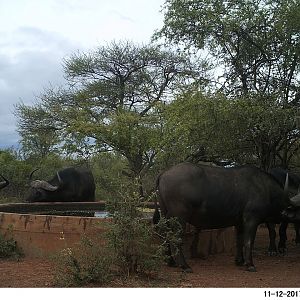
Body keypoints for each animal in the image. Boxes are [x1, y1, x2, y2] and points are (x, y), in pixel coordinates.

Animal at [154, 163, 300, 274]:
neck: (265, 189)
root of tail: (164, 173)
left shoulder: (240, 223)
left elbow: (239, 240)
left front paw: (240, 261)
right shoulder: (251, 220)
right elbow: (249, 241)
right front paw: (250, 264)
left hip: (166, 215)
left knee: (165, 235)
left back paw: (170, 262)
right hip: (179, 217)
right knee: (175, 238)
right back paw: (185, 266)